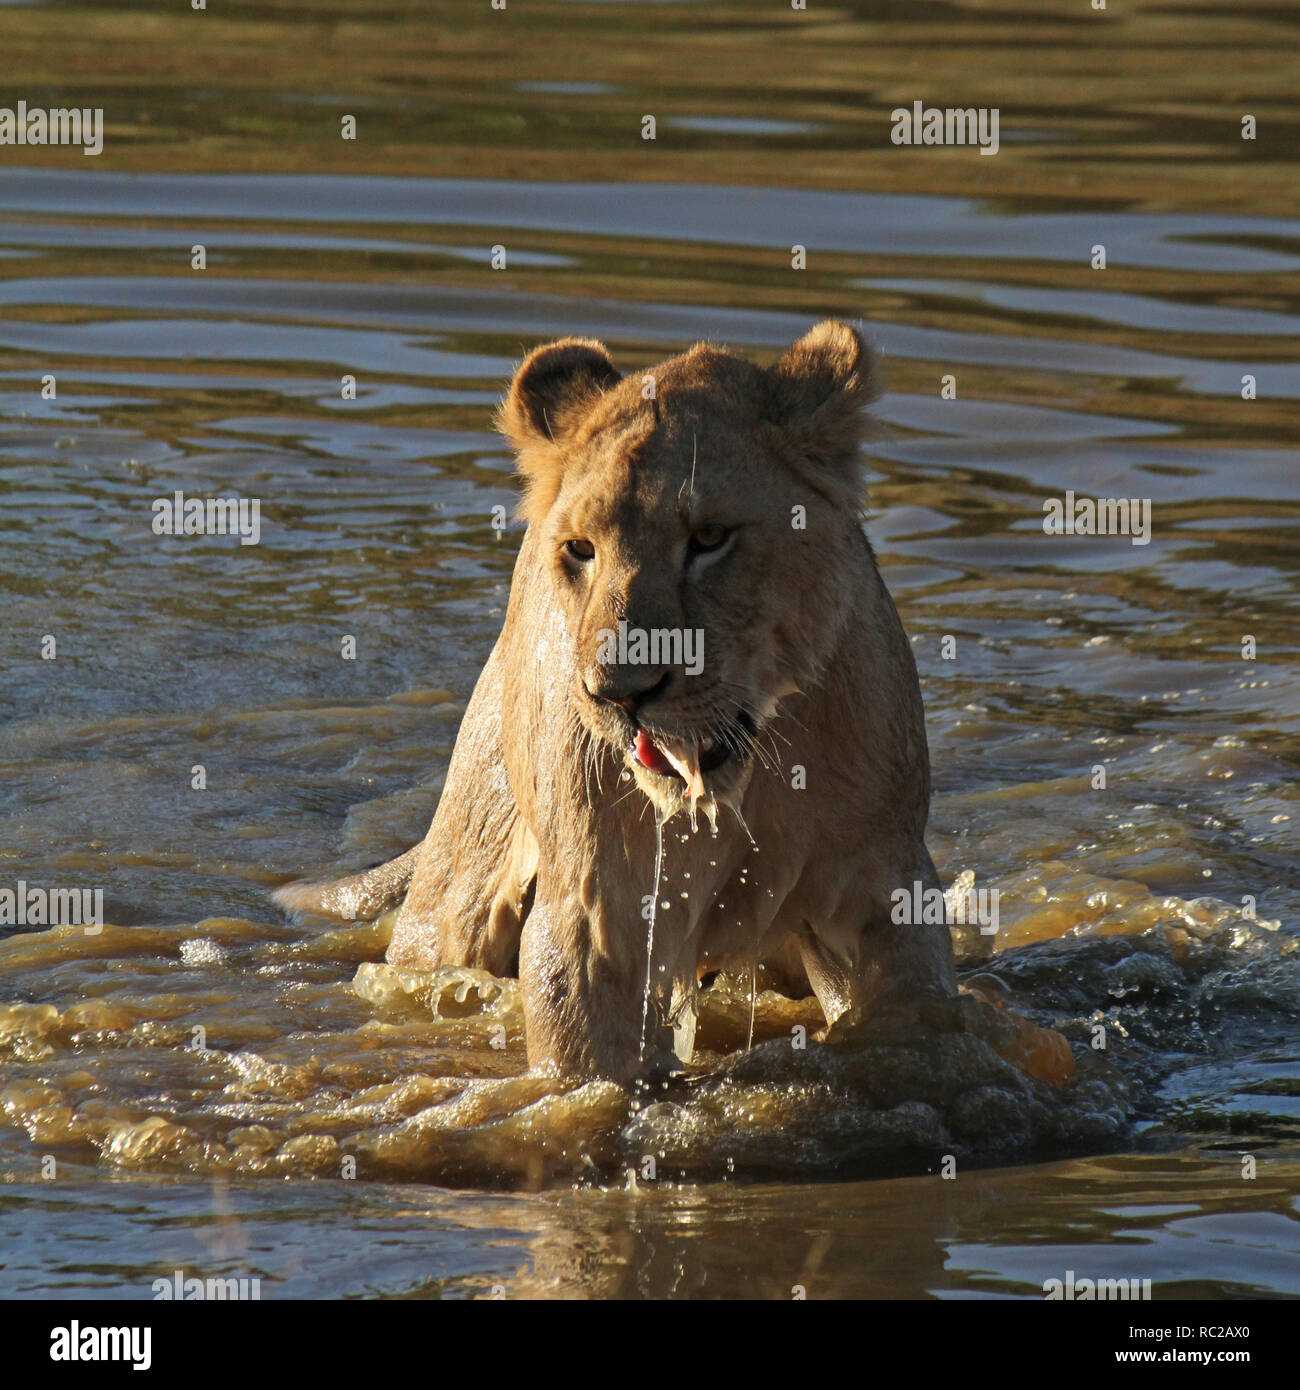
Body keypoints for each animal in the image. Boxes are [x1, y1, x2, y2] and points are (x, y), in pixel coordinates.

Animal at [273, 325, 962, 1084]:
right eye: (581, 550)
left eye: (710, 538)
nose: (619, 692)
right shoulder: (597, 911)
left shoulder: (881, 888)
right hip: (458, 890)